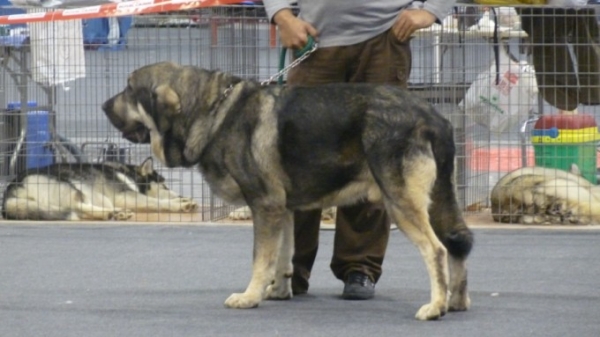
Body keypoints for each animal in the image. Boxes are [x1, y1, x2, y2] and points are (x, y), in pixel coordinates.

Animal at [1, 157, 199, 222]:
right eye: (164, 185)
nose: (180, 194)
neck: (128, 173)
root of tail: (11, 189)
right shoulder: (125, 195)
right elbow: (157, 201)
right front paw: (180, 204)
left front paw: (182, 199)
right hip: (73, 187)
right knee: (77, 207)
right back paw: (112, 213)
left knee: (79, 211)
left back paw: (115, 213)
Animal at [102, 61, 474, 320]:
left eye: (129, 89)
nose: (104, 105)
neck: (212, 111)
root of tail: (432, 117)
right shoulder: (283, 210)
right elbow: (283, 255)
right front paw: (277, 291)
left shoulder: (264, 205)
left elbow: (260, 258)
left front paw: (249, 296)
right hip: (439, 200)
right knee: (458, 244)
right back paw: (456, 301)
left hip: (401, 202)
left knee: (437, 251)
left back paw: (435, 307)